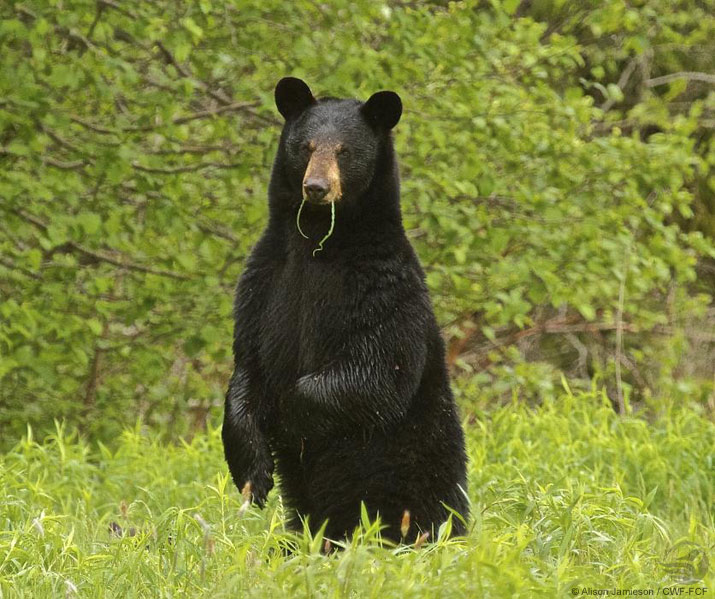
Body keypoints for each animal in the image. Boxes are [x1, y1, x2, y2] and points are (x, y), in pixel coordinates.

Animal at [224, 76, 470, 544]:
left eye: (344, 151)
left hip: (421, 469)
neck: (318, 240)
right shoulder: (265, 283)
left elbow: (377, 373)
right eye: (305, 146)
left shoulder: (380, 287)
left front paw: (284, 417)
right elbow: (246, 366)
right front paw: (254, 471)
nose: (316, 187)